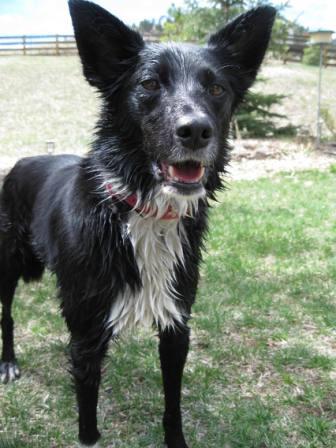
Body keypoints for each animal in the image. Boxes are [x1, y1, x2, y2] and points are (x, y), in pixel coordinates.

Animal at [0, 1, 274, 446]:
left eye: (216, 89)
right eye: (149, 83)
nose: (196, 131)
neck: (144, 213)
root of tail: (23, 161)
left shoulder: (177, 327)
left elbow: (172, 406)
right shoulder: (87, 336)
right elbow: (88, 423)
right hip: (8, 262)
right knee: (6, 314)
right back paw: (8, 362)